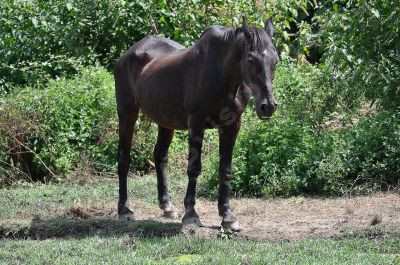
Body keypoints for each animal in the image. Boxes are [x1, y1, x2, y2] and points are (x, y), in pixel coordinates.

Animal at [114, 18, 280, 230]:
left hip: (165, 121)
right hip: (127, 113)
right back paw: (125, 210)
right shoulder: (196, 122)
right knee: (124, 159)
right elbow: (194, 168)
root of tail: (129, 53)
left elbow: (225, 170)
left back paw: (167, 207)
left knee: (160, 157)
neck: (222, 74)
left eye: (275, 60)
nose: (268, 107)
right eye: (251, 59)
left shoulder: (231, 126)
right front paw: (191, 215)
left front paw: (228, 217)